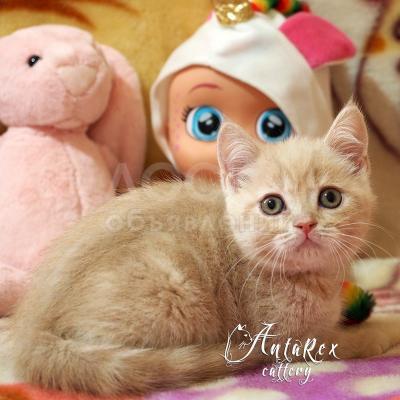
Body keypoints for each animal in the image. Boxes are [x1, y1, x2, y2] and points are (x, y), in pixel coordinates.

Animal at [7, 103, 400, 395]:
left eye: (330, 198)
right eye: (272, 205)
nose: (305, 224)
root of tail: (31, 327)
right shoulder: (290, 338)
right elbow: (348, 340)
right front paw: (385, 328)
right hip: (171, 290)